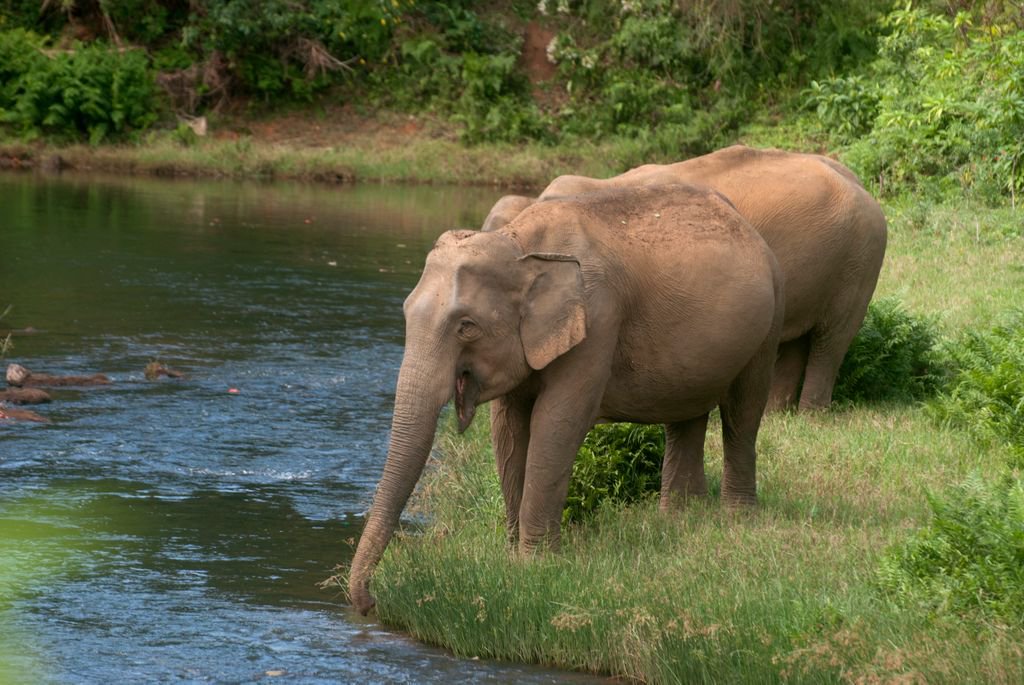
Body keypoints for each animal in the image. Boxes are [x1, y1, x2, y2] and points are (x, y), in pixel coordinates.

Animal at [348, 182, 784, 615]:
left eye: (466, 326)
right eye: (406, 313)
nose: (369, 603)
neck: (519, 245)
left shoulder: (597, 321)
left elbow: (556, 423)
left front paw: (535, 565)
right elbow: (508, 430)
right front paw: (511, 557)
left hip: (768, 324)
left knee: (743, 413)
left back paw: (737, 517)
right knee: (685, 417)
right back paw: (679, 519)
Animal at [482, 145, 888, 410]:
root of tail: (860, 183)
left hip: (860, 260)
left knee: (831, 338)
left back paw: (809, 413)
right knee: (795, 343)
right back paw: (779, 413)